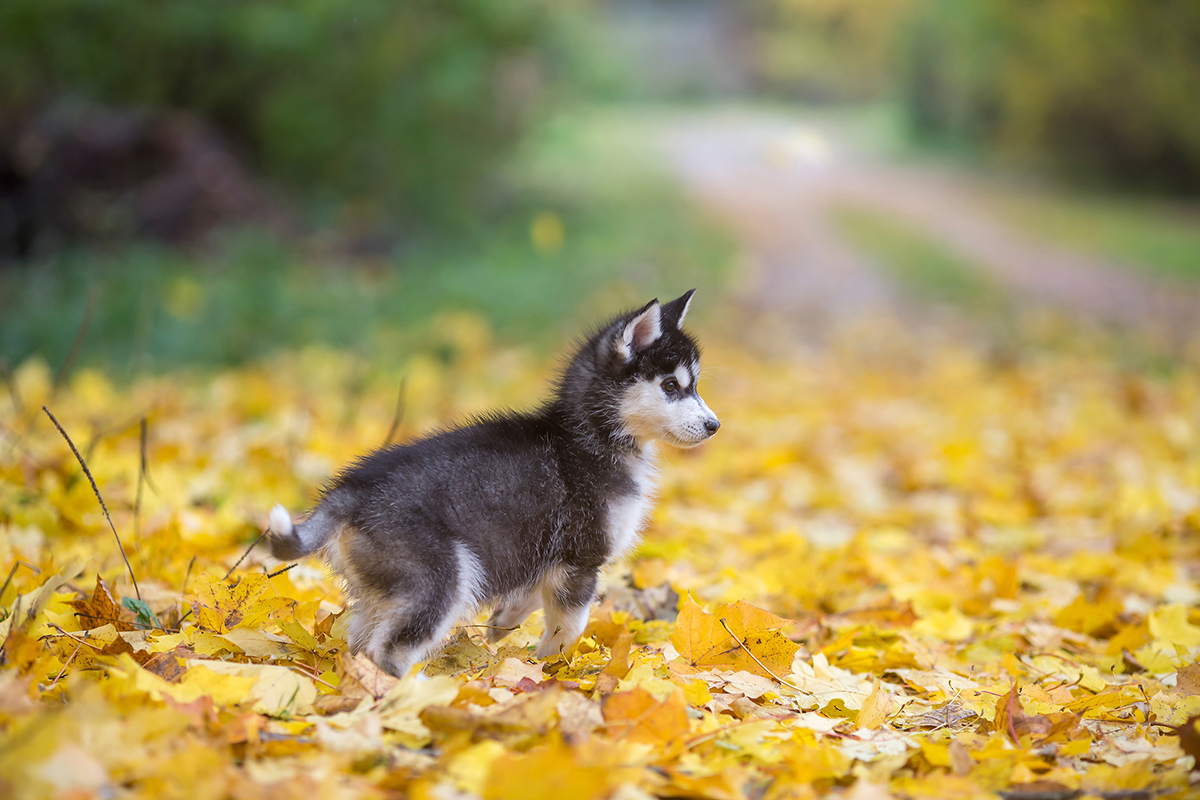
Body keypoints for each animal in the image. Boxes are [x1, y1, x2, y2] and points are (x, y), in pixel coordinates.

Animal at [267, 291, 715, 681]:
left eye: (693, 385)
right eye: (670, 386)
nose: (715, 425)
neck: (590, 436)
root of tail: (353, 489)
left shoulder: (544, 553)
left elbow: (531, 593)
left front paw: (504, 623)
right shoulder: (581, 557)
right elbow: (570, 625)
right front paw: (552, 666)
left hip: (384, 589)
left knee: (361, 644)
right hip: (443, 577)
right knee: (389, 650)